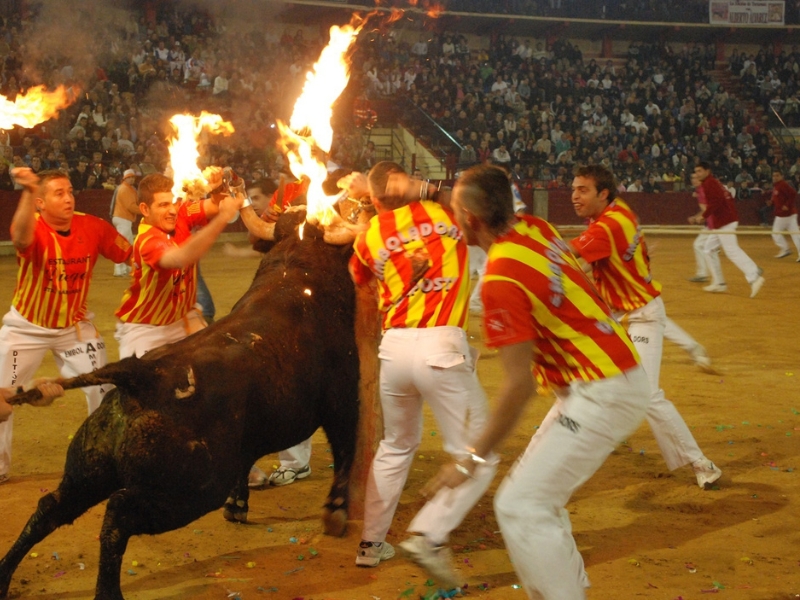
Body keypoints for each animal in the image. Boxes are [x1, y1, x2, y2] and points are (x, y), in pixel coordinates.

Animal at [0, 211, 360, 600]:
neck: (296, 268)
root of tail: (139, 374)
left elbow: (247, 465)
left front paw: (238, 506)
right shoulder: (344, 400)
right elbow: (345, 451)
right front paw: (337, 512)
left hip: (88, 470)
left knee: (50, 508)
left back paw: (5, 576)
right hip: (190, 490)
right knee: (117, 515)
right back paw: (108, 592)